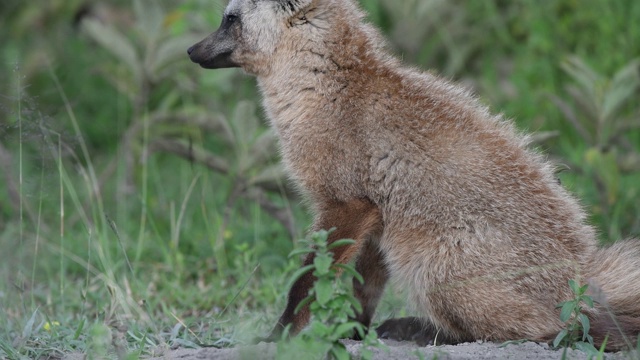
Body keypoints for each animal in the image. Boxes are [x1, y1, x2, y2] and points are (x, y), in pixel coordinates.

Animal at [188, 0, 640, 350]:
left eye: (229, 18)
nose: (190, 51)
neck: (328, 91)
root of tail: (579, 280)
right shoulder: (376, 221)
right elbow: (362, 292)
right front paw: (352, 335)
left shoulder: (346, 206)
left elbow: (305, 285)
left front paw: (279, 337)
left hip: (431, 270)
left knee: (544, 333)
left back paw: (425, 332)